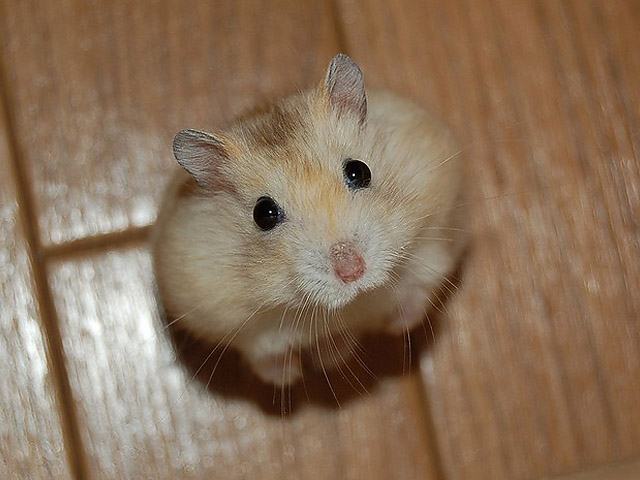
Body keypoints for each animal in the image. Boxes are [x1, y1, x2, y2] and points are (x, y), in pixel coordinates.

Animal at [152, 54, 467, 386]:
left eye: (359, 171)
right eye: (264, 214)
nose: (353, 272)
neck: (354, 302)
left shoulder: (438, 235)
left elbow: (420, 289)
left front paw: (395, 324)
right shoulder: (221, 315)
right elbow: (262, 355)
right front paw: (290, 376)